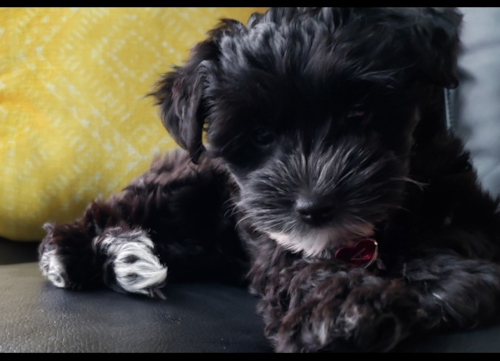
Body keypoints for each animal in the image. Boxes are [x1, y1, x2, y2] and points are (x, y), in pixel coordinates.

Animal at [38, 7, 500, 352]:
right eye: (261, 136)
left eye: (358, 112)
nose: (314, 207)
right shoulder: (273, 238)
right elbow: (302, 270)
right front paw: (344, 309)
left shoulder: (464, 202)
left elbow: (452, 235)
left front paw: (446, 281)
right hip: (184, 183)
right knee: (108, 211)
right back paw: (73, 255)